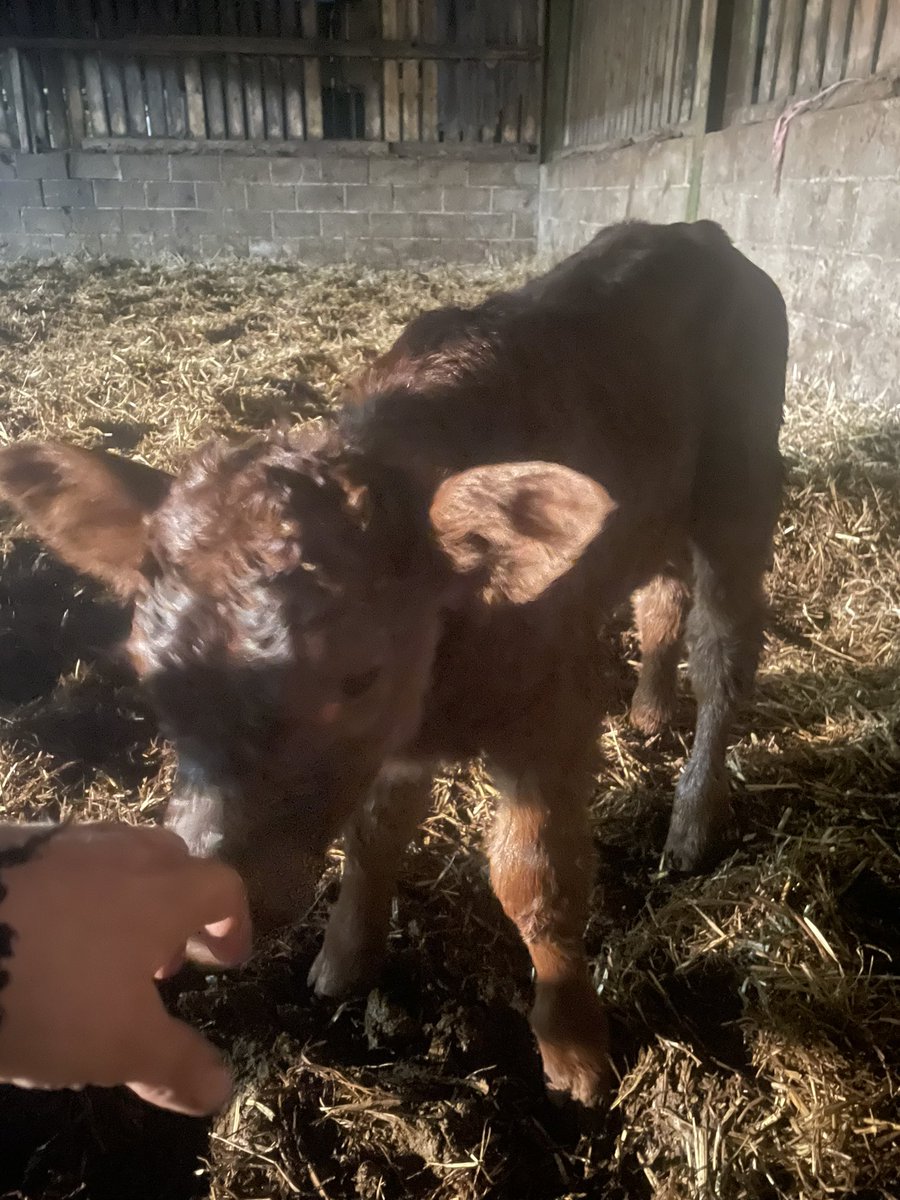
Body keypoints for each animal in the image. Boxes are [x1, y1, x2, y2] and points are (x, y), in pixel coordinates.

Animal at [0, 221, 787, 1106]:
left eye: (358, 675)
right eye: (150, 675)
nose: (209, 913)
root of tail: (696, 231)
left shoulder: (550, 711)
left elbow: (537, 879)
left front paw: (574, 1044)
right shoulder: (402, 742)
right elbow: (375, 834)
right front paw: (344, 958)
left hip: (742, 487)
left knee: (725, 657)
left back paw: (692, 820)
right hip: (660, 509)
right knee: (660, 593)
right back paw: (650, 709)